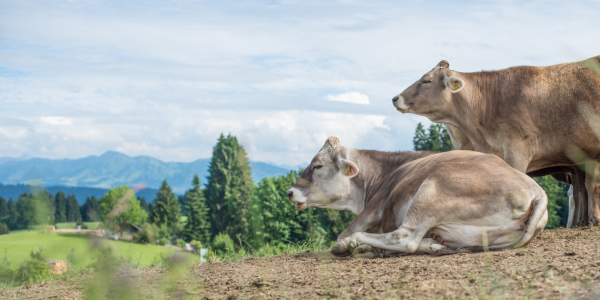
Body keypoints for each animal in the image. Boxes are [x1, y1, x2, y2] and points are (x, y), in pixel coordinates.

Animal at [288, 137, 548, 256]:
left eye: (317, 165)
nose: (290, 192)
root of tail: (538, 192)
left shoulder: (375, 207)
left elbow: (343, 233)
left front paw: (348, 243)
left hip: (435, 184)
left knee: (405, 238)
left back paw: (357, 243)